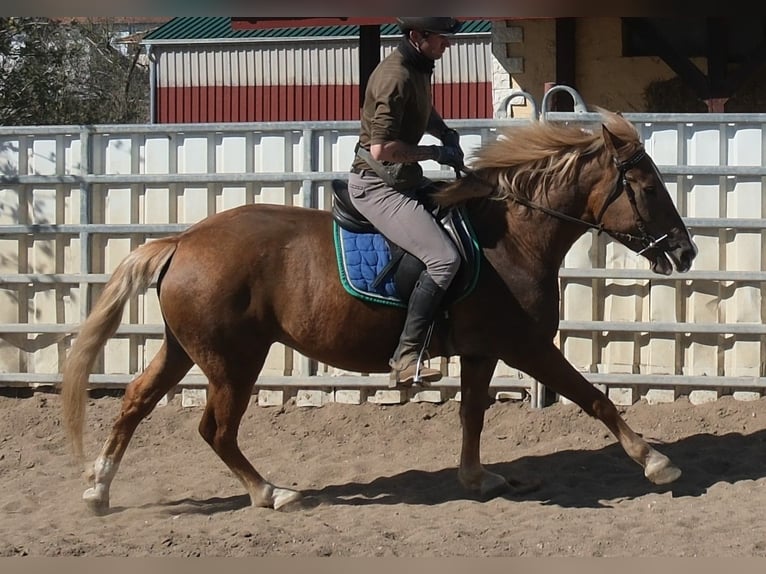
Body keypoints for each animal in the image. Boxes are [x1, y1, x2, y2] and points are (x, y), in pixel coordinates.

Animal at [61, 108, 697, 513]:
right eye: (647, 187)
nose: (684, 252)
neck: (510, 238)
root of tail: (183, 241)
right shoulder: (528, 347)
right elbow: (594, 397)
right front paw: (656, 462)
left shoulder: (483, 351)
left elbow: (472, 415)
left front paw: (476, 478)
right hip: (232, 361)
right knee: (215, 429)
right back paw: (272, 493)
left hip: (184, 349)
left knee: (135, 403)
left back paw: (98, 491)